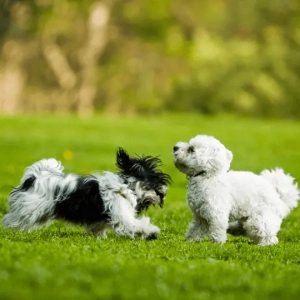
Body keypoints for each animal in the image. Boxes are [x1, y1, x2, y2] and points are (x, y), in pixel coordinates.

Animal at [2, 149, 171, 240]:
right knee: (10, 219)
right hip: (29, 209)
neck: (125, 187)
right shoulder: (122, 217)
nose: (164, 190)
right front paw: (152, 232)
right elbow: (137, 225)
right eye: (157, 178)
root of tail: (34, 177)